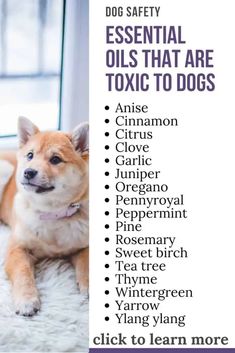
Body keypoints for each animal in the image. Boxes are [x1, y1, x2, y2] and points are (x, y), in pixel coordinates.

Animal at [0, 117, 89, 314]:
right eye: (30, 155)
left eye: (55, 159)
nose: (28, 172)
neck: (51, 214)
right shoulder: (17, 248)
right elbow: (23, 273)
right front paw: (26, 299)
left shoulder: (83, 245)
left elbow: (86, 265)